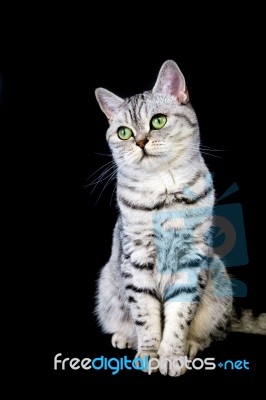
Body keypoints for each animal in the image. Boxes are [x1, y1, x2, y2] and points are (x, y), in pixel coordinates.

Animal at [94, 61, 266, 376]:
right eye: (123, 133)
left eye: (158, 121)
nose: (140, 141)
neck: (164, 194)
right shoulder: (136, 259)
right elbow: (146, 315)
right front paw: (149, 353)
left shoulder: (191, 259)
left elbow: (179, 316)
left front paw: (172, 355)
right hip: (107, 286)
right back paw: (124, 337)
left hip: (218, 284)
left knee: (215, 333)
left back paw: (192, 345)